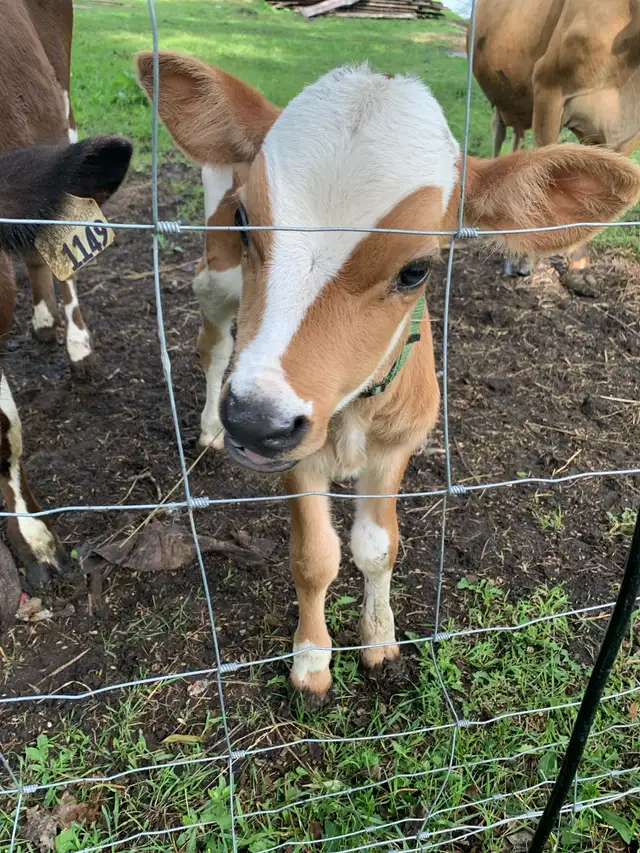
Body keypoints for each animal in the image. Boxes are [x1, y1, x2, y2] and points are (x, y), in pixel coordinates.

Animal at [136, 51, 640, 699]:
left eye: (416, 269)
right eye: (247, 221)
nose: (253, 420)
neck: (350, 413)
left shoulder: (398, 442)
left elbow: (378, 548)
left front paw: (379, 642)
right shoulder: (297, 455)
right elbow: (315, 557)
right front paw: (311, 662)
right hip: (215, 279)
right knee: (212, 341)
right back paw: (206, 429)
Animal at [470, 0, 640, 277]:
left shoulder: (626, 135)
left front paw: (579, 266)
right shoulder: (549, 86)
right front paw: (524, 259)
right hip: (499, 99)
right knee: (499, 134)